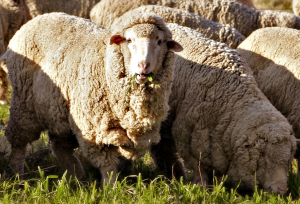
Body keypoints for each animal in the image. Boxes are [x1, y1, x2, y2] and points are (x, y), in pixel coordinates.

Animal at [2, 11, 183, 182]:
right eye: (129, 40)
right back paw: (17, 174)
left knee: (60, 144)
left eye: (159, 42)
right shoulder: (95, 129)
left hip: (58, 111)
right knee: (19, 142)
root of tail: (36, 19)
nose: (143, 66)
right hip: (23, 104)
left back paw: (75, 176)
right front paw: (110, 188)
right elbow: (108, 166)